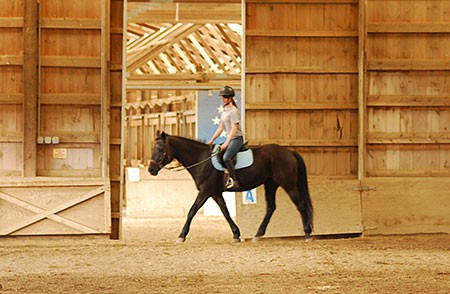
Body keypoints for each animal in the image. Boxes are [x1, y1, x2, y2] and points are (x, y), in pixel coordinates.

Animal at [149, 131, 312, 243]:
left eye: (161, 149)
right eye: (153, 149)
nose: (151, 169)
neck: (202, 159)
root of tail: (289, 152)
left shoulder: (205, 192)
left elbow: (192, 211)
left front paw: (181, 236)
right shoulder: (215, 193)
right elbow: (225, 212)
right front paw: (236, 234)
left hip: (288, 185)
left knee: (301, 205)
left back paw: (307, 234)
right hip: (270, 184)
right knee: (271, 207)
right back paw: (258, 235)